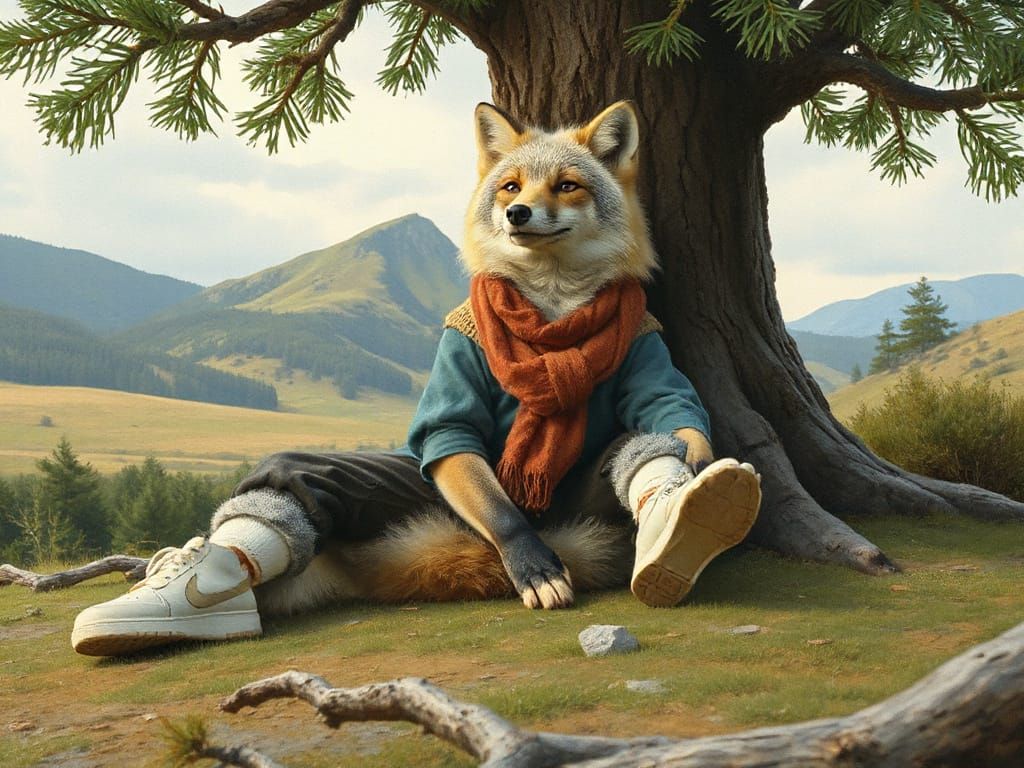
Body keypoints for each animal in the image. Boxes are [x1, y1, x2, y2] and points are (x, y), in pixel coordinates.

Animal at [71, 102, 761, 656]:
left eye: (566, 186)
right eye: (510, 185)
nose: (517, 212)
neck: (550, 318)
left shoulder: (644, 338)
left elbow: (672, 410)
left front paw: (693, 490)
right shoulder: (457, 370)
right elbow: (487, 490)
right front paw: (531, 565)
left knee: (639, 447)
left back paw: (694, 519)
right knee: (288, 489)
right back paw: (162, 607)